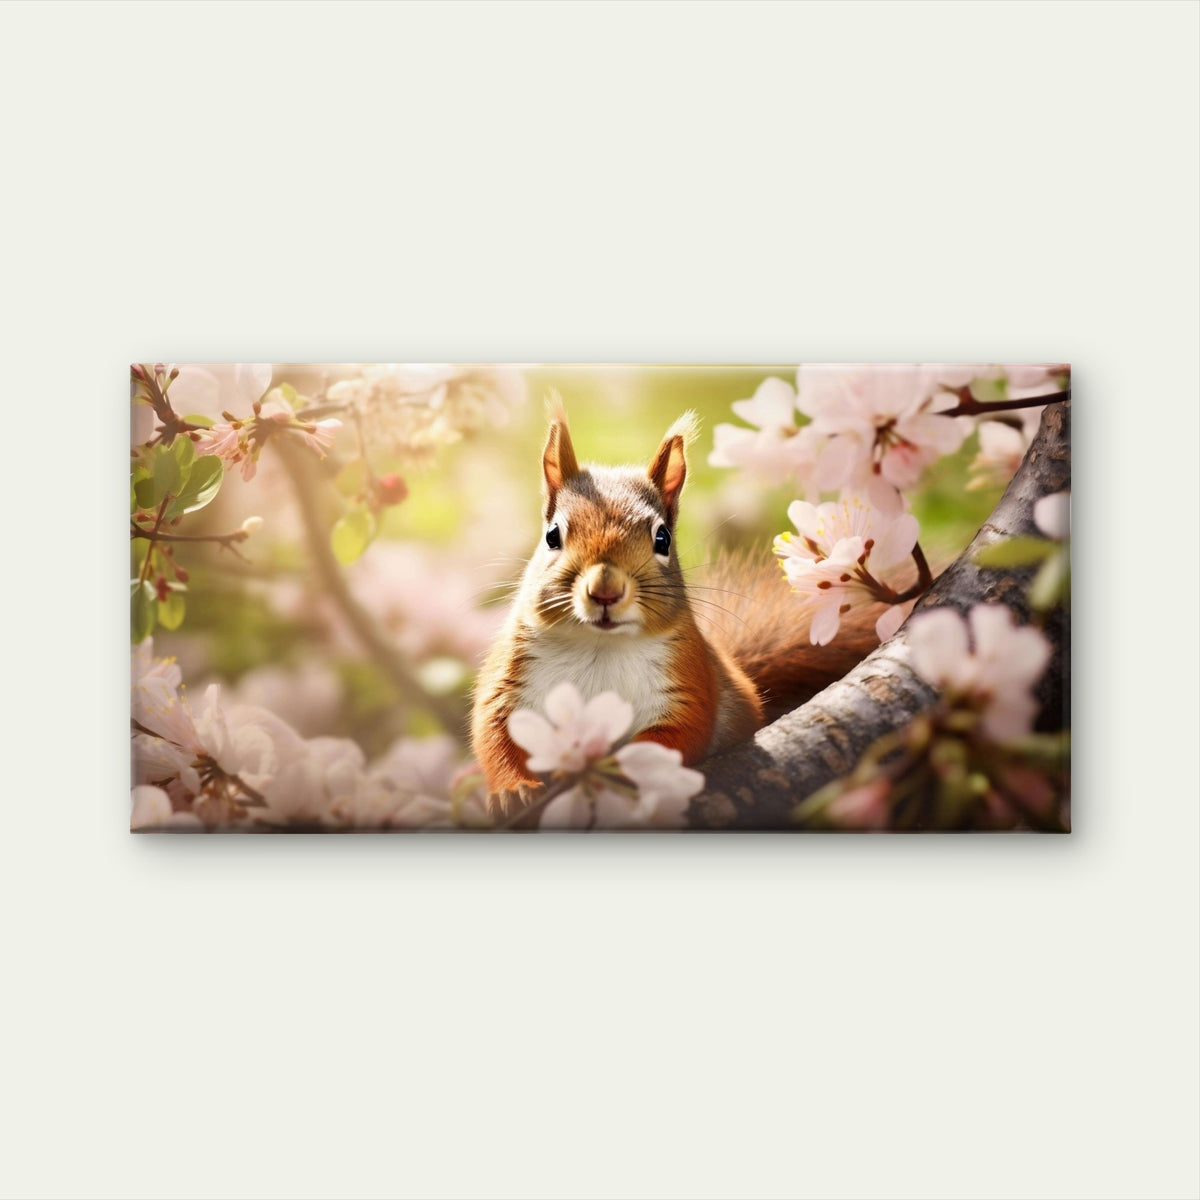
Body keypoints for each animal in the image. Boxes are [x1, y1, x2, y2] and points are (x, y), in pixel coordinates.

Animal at [470, 398, 883, 809]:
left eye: (663, 538)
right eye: (552, 536)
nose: (606, 590)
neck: (601, 644)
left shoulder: (687, 678)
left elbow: (677, 734)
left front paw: (617, 771)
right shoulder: (511, 675)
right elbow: (495, 731)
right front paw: (515, 790)